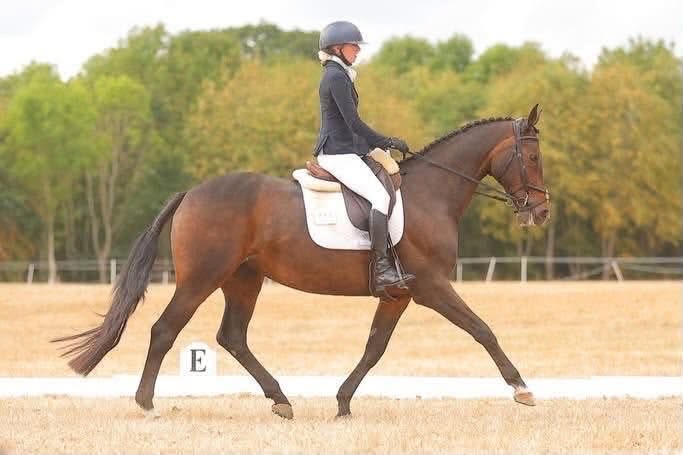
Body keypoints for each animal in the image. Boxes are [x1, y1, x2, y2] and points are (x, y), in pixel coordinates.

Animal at [55, 104, 550, 419]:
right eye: (532, 156)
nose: (541, 211)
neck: (432, 194)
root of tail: (191, 192)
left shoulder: (400, 294)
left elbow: (374, 347)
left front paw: (343, 402)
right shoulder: (430, 286)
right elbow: (482, 329)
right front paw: (522, 389)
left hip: (243, 279)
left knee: (232, 337)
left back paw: (280, 399)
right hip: (201, 278)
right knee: (165, 330)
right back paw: (145, 403)